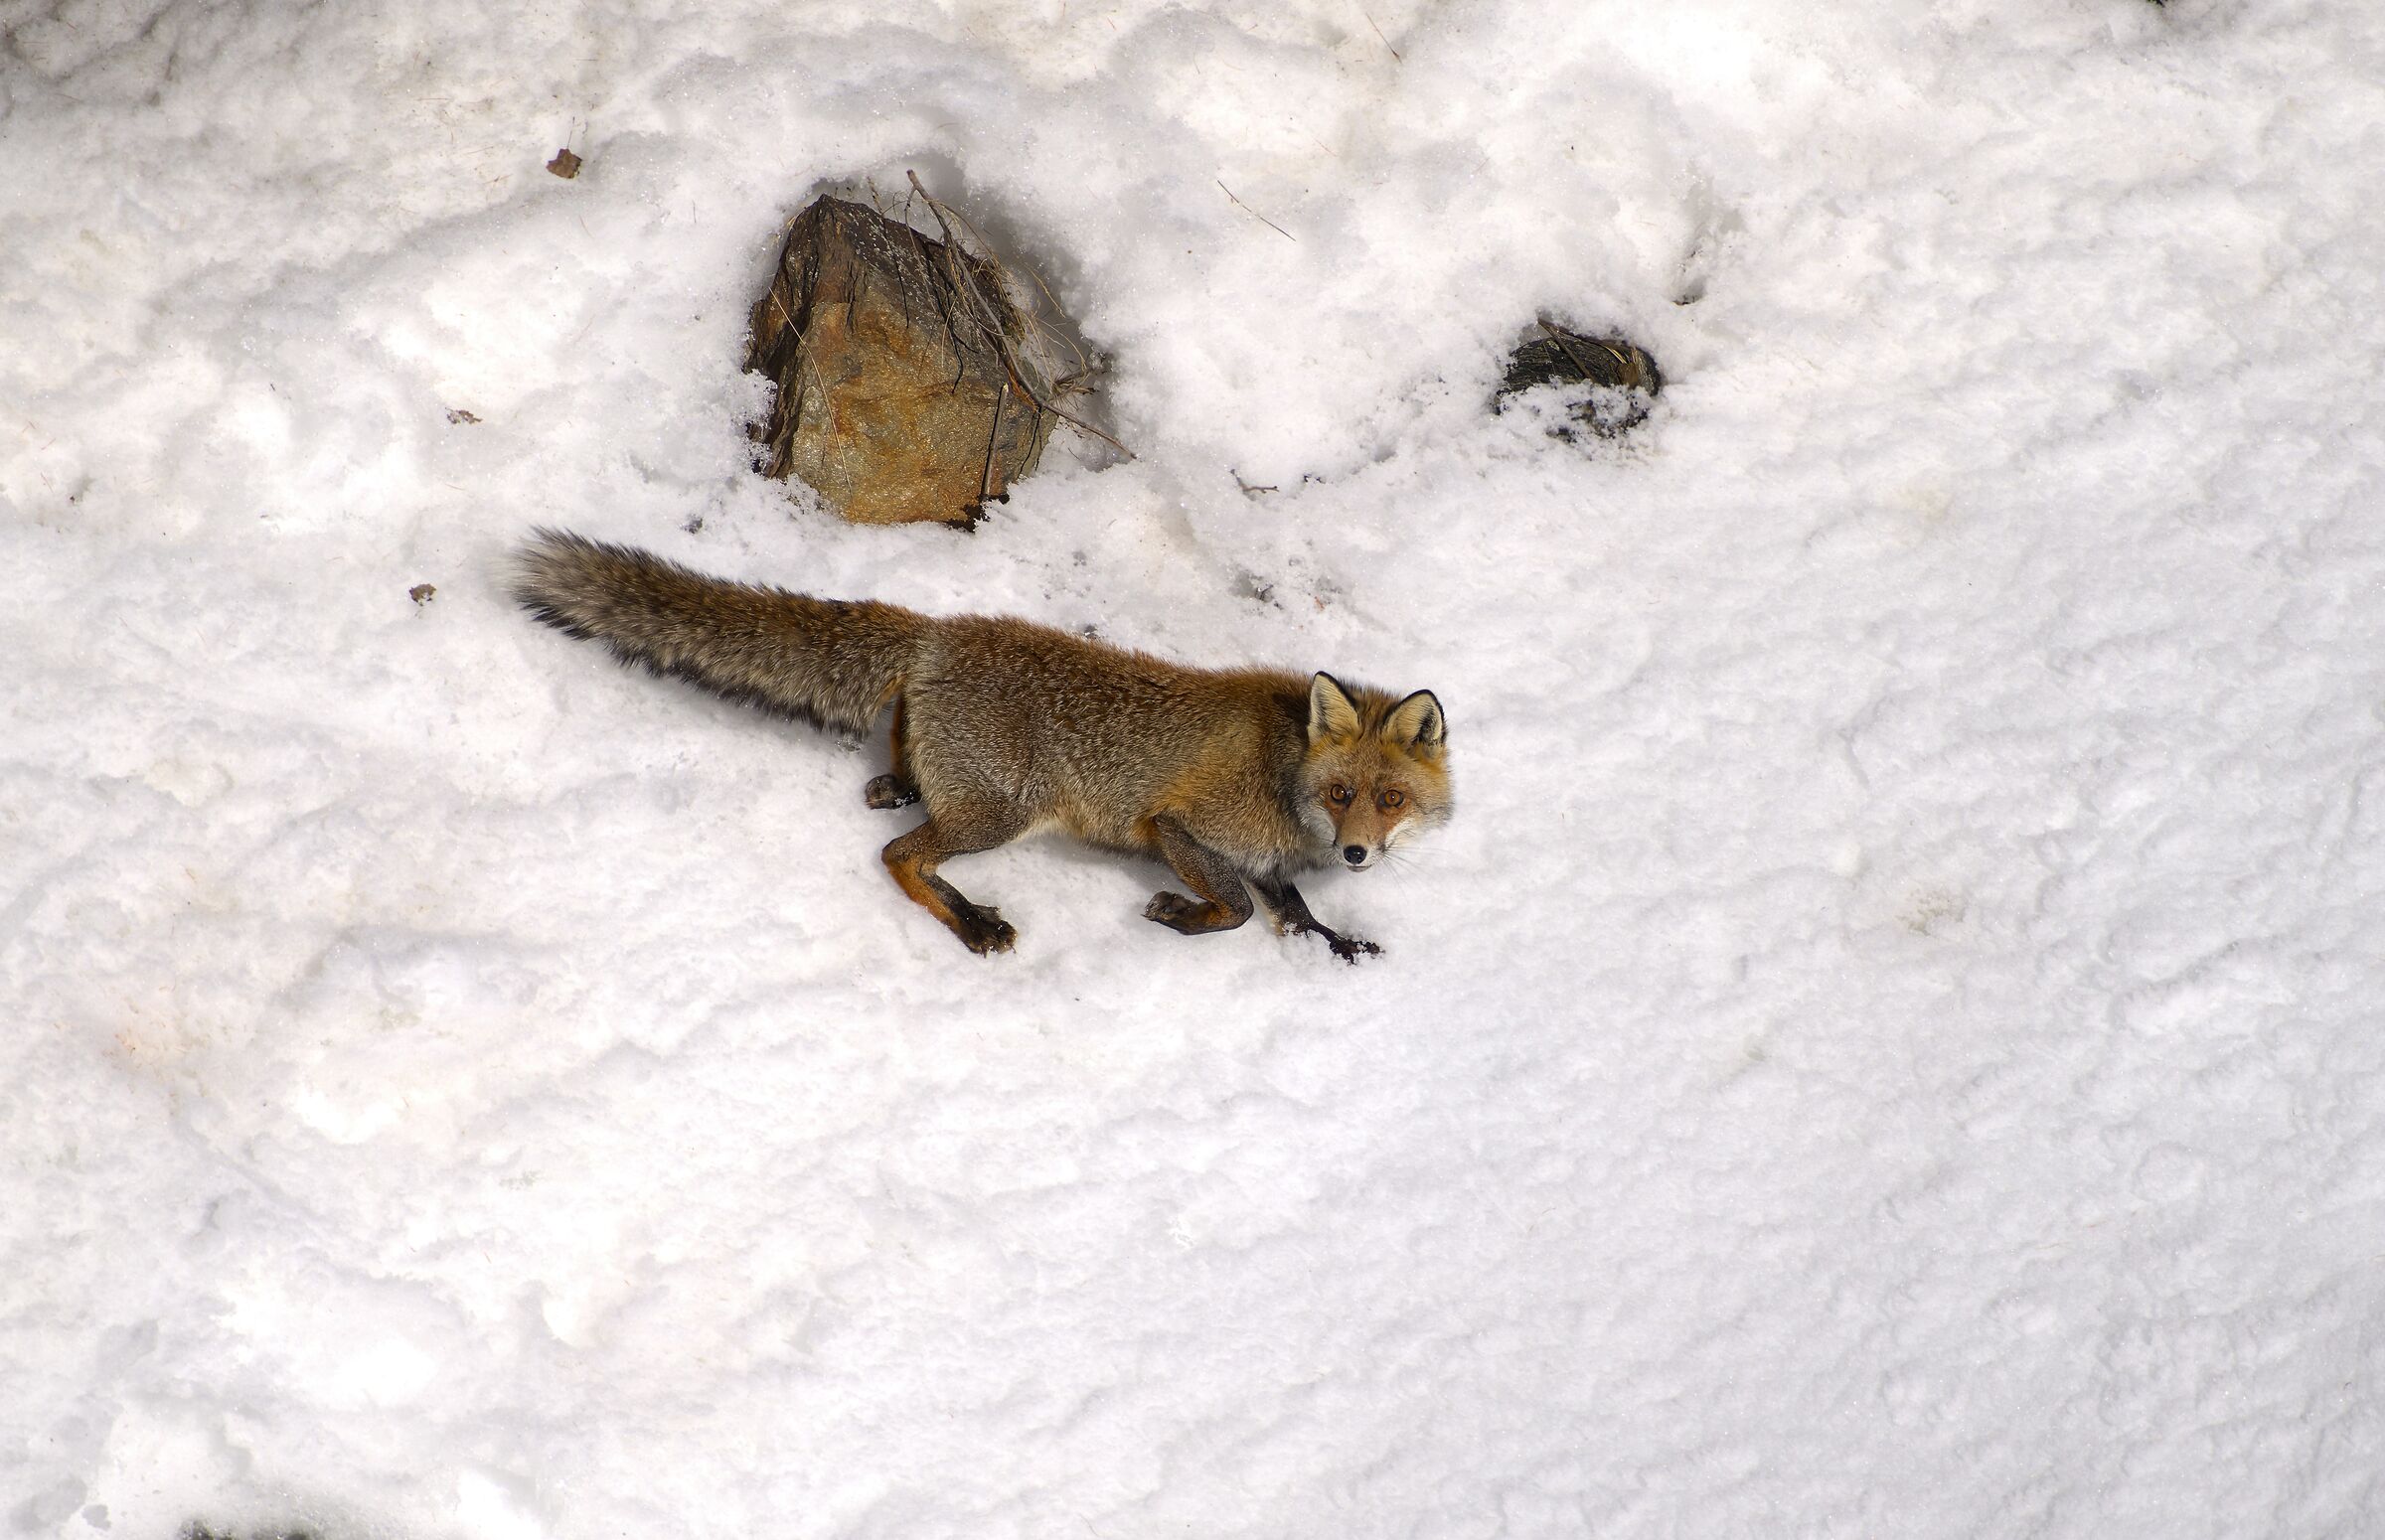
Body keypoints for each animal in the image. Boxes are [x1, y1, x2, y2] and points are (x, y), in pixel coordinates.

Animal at [509, 529, 1451, 960]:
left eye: (1390, 799)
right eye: (1340, 794)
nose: (1359, 853)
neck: (1281, 774)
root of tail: (940, 633)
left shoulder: (1266, 857)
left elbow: (1292, 908)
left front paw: (1336, 941)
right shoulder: (1175, 827)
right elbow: (1243, 908)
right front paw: (1178, 917)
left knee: (901, 799)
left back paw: (897, 783)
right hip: (1005, 814)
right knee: (899, 857)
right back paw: (968, 921)